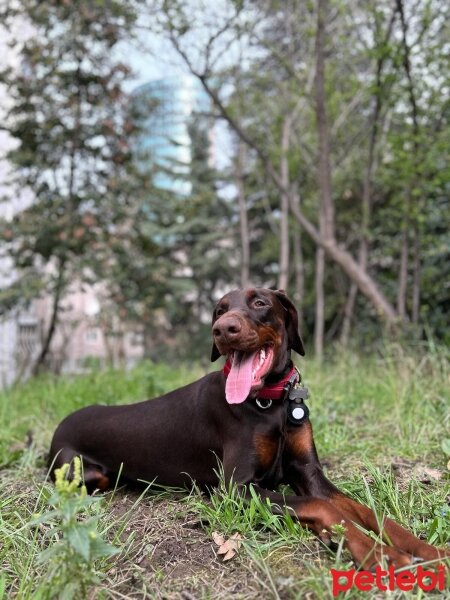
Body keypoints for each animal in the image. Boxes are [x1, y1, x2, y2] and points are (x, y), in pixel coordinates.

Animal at [47, 288, 448, 568]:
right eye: (220, 310)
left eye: (259, 302)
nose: (223, 329)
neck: (272, 404)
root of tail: (60, 423)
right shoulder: (236, 488)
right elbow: (322, 506)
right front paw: (379, 554)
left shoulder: (309, 471)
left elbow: (366, 510)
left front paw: (424, 548)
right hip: (84, 473)